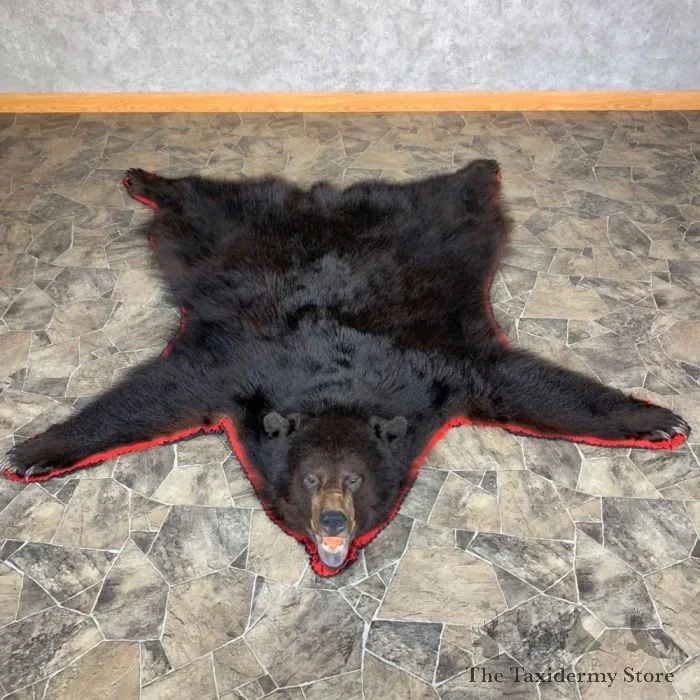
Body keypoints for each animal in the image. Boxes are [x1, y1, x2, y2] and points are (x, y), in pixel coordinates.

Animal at [3, 160, 689, 573]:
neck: (337, 391)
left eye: (353, 481)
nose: (332, 521)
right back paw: (144, 177)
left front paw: (654, 419)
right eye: (312, 480)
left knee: (452, 196)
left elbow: (527, 386)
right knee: (204, 200)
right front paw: (37, 451)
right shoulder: (232, 373)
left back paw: (479, 168)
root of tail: (325, 200)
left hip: (439, 227)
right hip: (227, 230)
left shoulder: (439, 373)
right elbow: (154, 396)